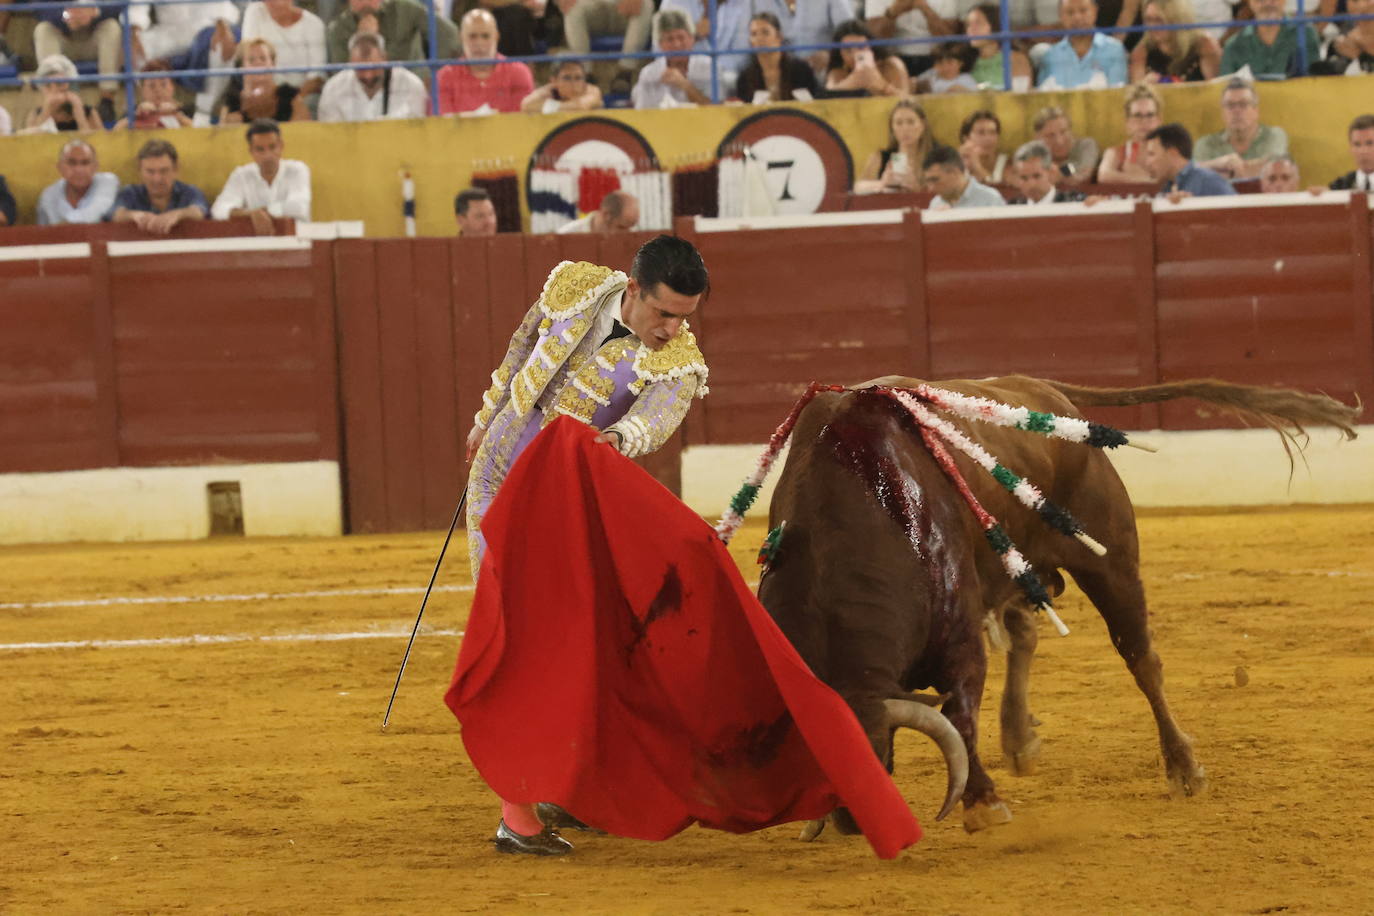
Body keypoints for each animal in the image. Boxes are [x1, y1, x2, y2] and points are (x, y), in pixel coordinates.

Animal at [763, 376, 1363, 834]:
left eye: (868, 752)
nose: (849, 822)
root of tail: (1045, 392)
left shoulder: (961, 645)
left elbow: (960, 718)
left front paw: (984, 804)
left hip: (1111, 561)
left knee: (1141, 660)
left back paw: (1184, 768)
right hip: (1019, 565)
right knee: (1025, 634)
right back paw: (1020, 737)